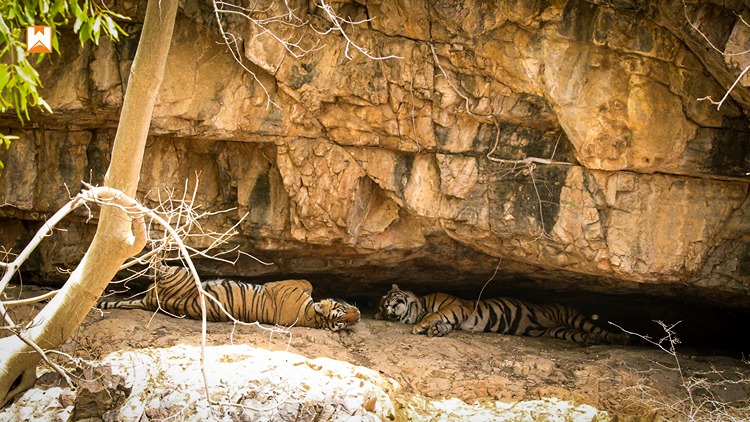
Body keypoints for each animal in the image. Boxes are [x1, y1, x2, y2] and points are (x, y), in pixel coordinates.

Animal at [96, 264, 360, 331]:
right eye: (342, 314)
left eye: (343, 322)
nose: (358, 315)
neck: (313, 318)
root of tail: (149, 302)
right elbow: (309, 283)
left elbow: (307, 283)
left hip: (182, 272)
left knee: (159, 266)